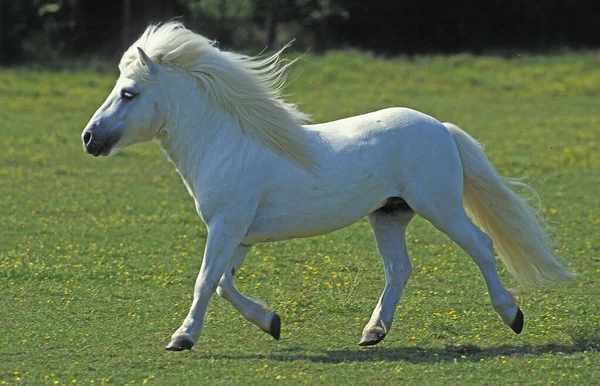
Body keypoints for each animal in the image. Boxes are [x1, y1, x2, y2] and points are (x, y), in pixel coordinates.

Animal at [79, 22, 572, 352]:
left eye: (128, 93)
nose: (88, 138)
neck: (226, 143)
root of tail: (441, 128)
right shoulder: (239, 234)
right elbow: (222, 285)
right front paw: (272, 322)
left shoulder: (226, 226)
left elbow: (205, 282)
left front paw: (182, 338)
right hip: (389, 215)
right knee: (399, 270)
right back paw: (373, 333)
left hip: (441, 207)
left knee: (482, 247)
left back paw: (513, 316)